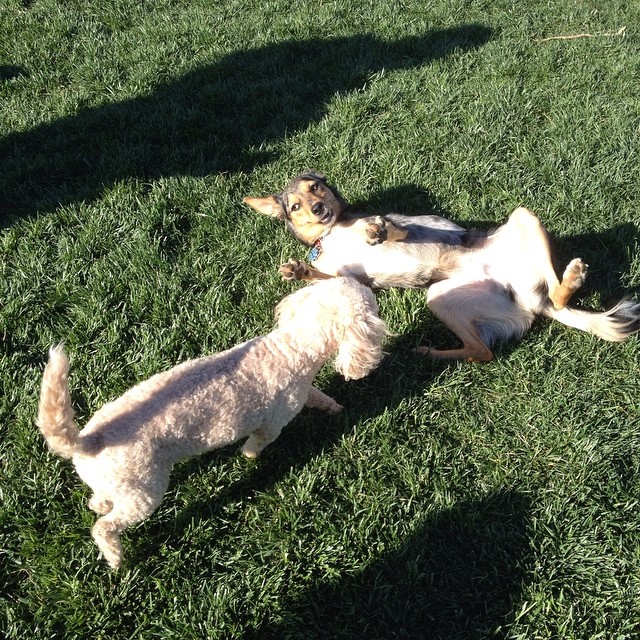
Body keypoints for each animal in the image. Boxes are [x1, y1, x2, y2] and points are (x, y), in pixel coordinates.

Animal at [37, 277, 387, 569]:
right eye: (371, 302)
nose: (374, 288)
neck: (291, 347)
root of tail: (87, 441)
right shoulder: (274, 422)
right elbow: (259, 442)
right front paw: (250, 456)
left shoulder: (303, 390)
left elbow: (318, 396)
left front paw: (334, 407)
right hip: (144, 491)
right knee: (105, 526)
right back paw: (115, 557)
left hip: (119, 483)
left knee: (99, 500)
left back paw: (99, 504)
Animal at [244, 170, 640, 362]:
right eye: (295, 206)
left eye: (315, 188)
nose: (317, 209)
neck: (331, 233)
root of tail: (533, 300)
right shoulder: (354, 279)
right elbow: (323, 274)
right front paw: (299, 270)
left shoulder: (399, 227)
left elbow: (392, 228)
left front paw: (377, 230)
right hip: (440, 296)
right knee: (481, 352)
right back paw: (432, 354)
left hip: (523, 217)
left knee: (549, 297)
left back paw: (572, 276)